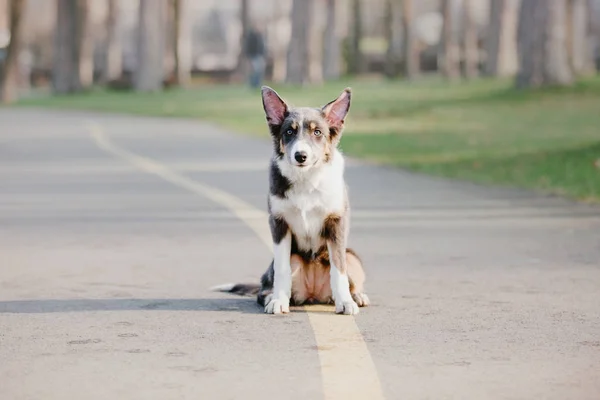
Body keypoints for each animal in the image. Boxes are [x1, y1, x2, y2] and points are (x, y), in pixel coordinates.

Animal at [211, 86, 370, 316]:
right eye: (289, 132)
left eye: (317, 132)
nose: (300, 155)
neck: (306, 180)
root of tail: (314, 294)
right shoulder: (279, 223)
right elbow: (282, 269)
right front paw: (278, 301)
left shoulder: (336, 223)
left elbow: (338, 268)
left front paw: (346, 302)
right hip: (289, 260)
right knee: (265, 288)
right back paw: (272, 297)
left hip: (353, 257)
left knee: (347, 269)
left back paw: (356, 296)